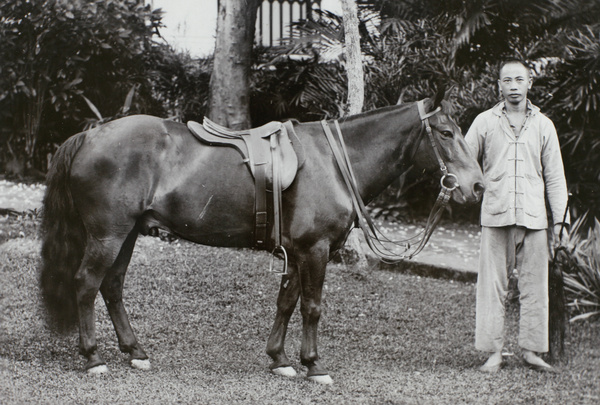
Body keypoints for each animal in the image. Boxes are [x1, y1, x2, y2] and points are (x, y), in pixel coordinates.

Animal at [41, 91, 482, 382]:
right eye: (445, 133)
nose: (476, 186)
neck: (333, 162)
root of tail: (89, 135)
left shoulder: (298, 251)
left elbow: (286, 303)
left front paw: (280, 359)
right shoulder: (316, 250)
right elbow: (312, 308)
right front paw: (314, 365)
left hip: (127, 233)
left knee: (112, 286)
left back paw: (135, 352)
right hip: (108, 235)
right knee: (86, 284)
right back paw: (93, 357)